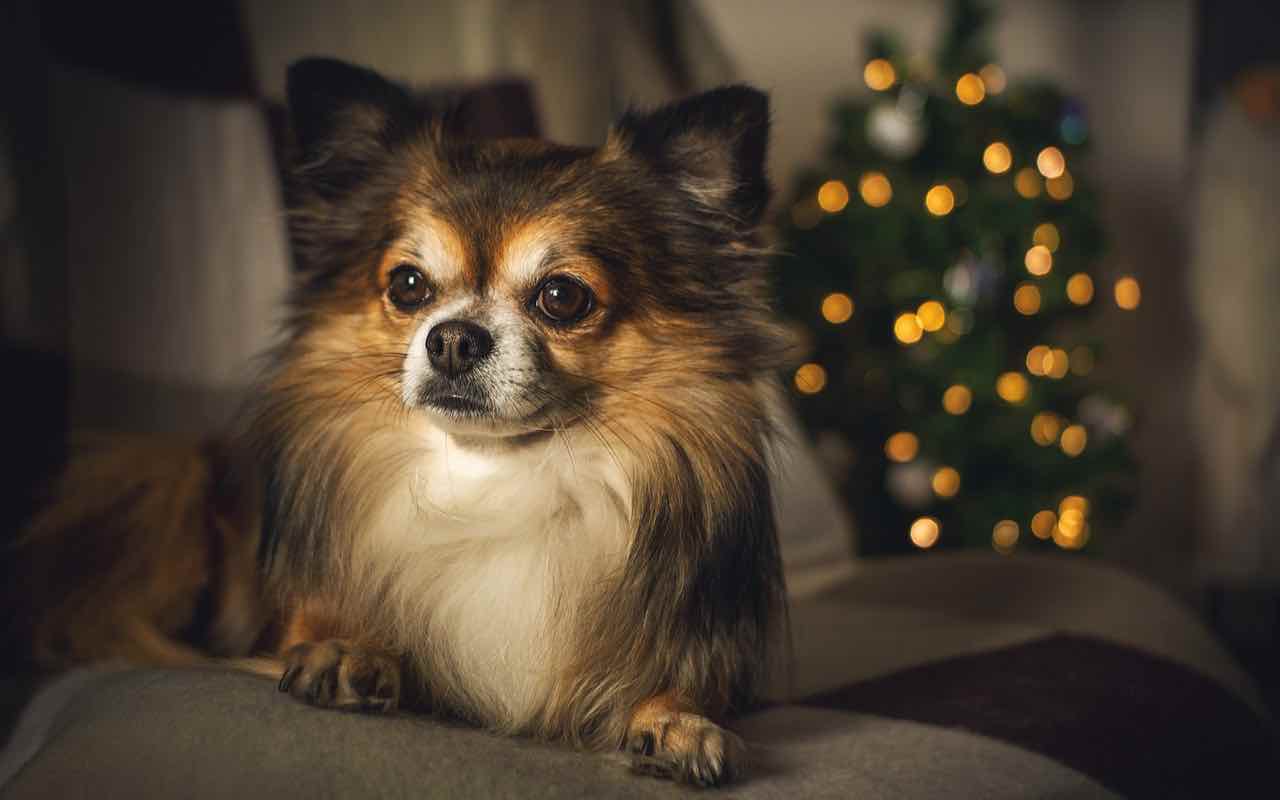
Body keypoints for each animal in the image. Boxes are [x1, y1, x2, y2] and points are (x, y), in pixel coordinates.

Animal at [5, 57, 788, 788]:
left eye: (562, 297)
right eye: (408, 286)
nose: (453, 339)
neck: (494, 475)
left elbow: (685, 688)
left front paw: (678, 718)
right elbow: (320, 627)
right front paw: (352, 647)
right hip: (169, 483)